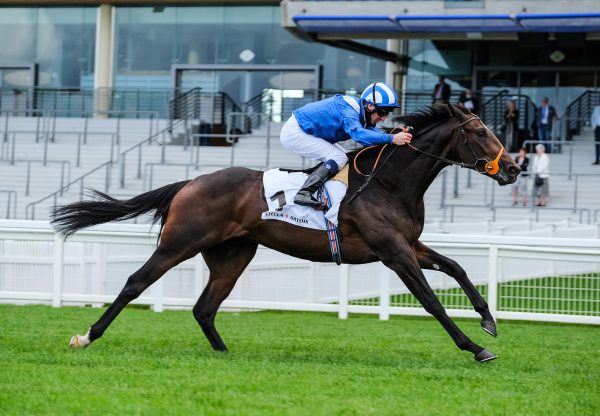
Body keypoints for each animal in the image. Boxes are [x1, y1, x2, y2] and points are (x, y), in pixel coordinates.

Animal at [52, 105, 520, 364]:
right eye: (480, 132)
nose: (514, 168)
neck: (387, 182)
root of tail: (191, 182)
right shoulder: (393, 252)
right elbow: (431, 302)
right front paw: (475, 347)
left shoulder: (410, 244)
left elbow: (457, 267)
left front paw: (489, 320)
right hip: (179, 242)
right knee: (136, 283)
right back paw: (85, 336)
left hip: (233, 255)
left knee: (205, 307)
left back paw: (225, 354)